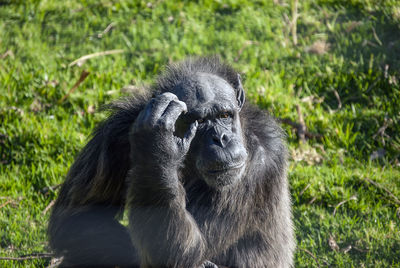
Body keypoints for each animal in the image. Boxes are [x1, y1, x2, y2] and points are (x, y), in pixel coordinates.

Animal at [48, 56, 296, 266]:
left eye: (225, 115)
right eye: (200, 121)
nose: (221, 139)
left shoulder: (257, 163)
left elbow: (186, 252)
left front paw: (158, 145)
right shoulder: (114, 132)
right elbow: (77, 218)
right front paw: (159, 139)